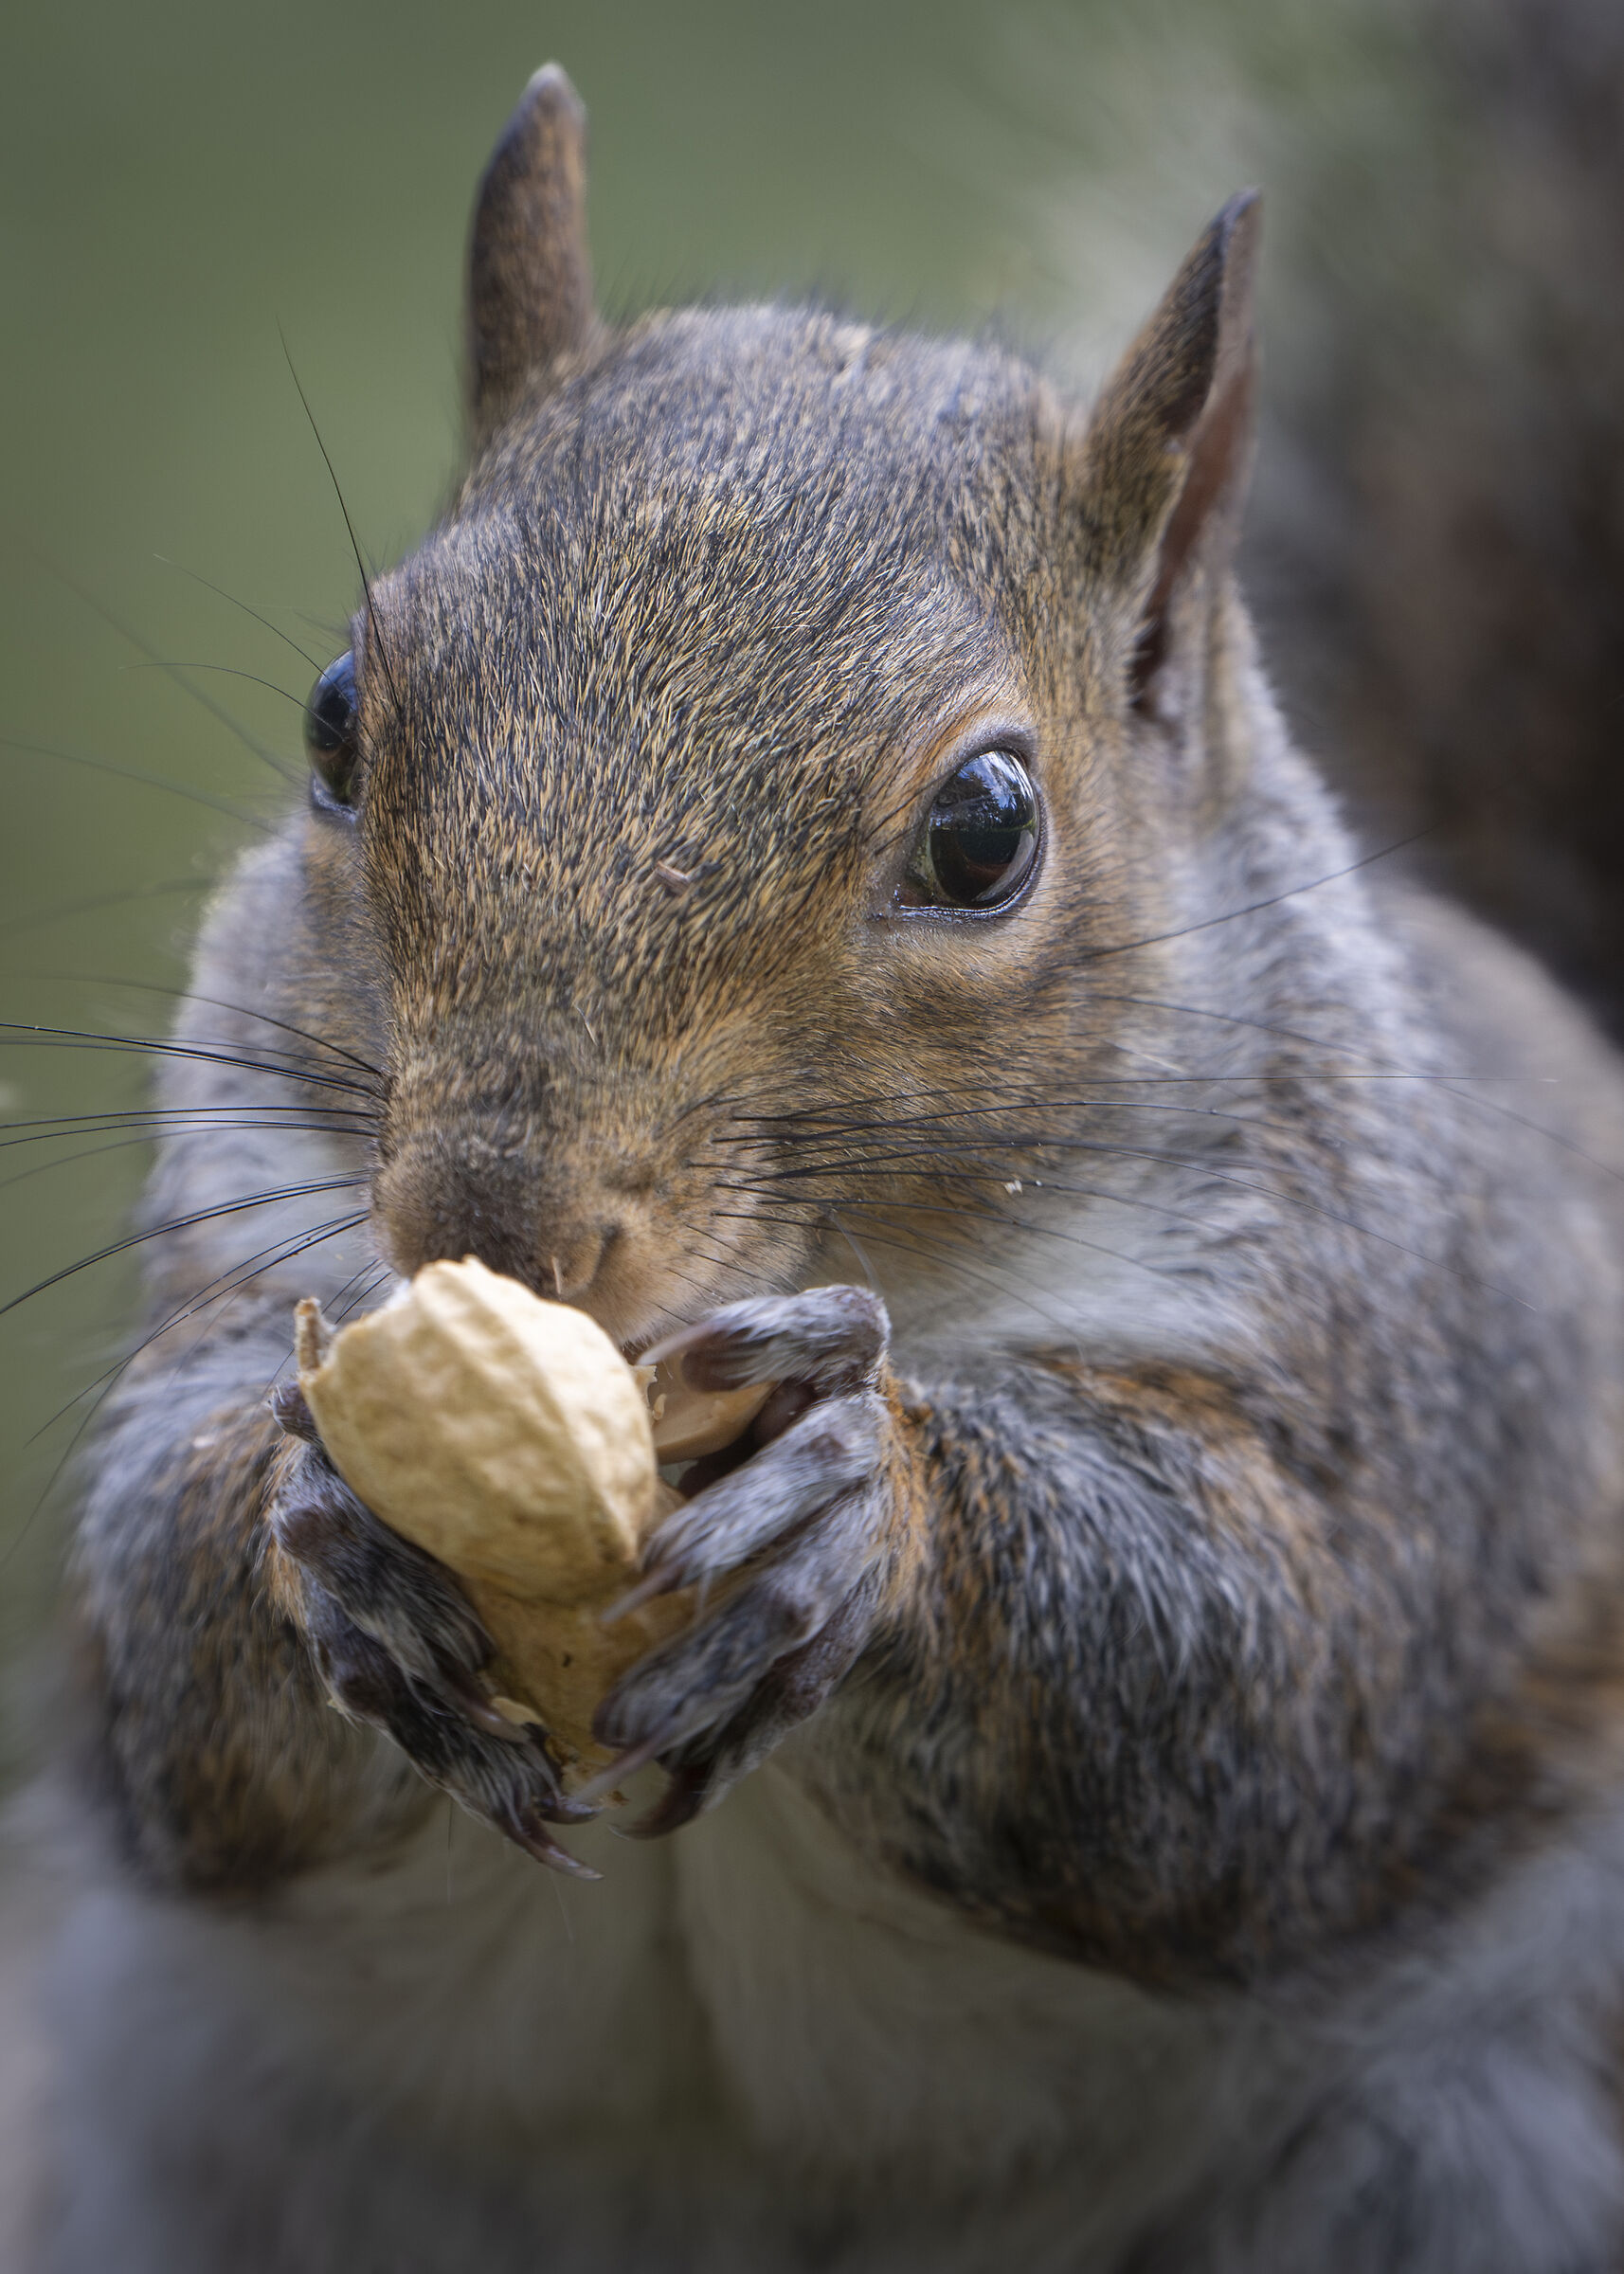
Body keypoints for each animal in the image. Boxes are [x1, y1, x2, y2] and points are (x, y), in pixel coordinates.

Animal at [32, 57, 1624, 2274]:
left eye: (983, 830)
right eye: (338, 720)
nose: (487, 1220)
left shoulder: (1423, 1377)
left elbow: (1254, 1682)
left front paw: (865, 1513)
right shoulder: (233, 1256)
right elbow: (156, 1653)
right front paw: (317, 1530)